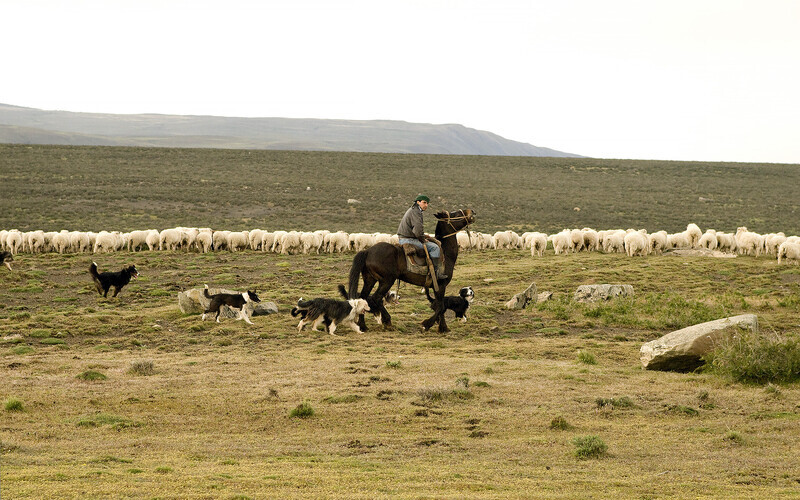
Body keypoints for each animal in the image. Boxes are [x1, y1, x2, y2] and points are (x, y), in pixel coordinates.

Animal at [347, 208, 475, 333]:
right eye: (455, 214)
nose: (471, 212)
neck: (445, 252)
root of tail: (368, 251)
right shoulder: (440, 285)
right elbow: (440, 307)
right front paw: (427, 325)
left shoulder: (436, 287)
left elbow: (441, 305)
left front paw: (443, 328)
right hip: (387, 281)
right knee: (376, 298)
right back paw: (387, 322)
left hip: (370, 280)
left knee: (363, 298)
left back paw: (363, 326)